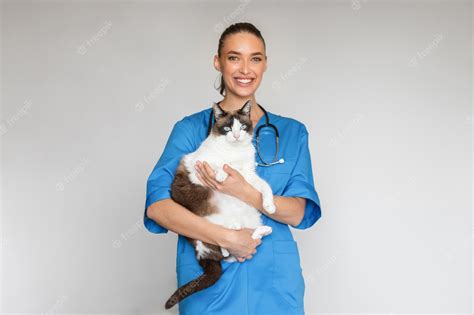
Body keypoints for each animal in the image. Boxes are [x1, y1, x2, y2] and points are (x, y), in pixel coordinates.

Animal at [163, 101, 274, 312]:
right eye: (228, 128)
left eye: (243, 127)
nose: (237, 136)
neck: (235, 153)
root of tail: (199, 253)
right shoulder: (197, 164)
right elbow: (219, 163)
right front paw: (222, 175)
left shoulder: (248, 176)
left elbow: (265, 187)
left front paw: (270, 205)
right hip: (206, 229)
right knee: (224, 246)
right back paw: (233, 229)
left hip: (251, 215)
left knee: (244, 242)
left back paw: (261, 229)